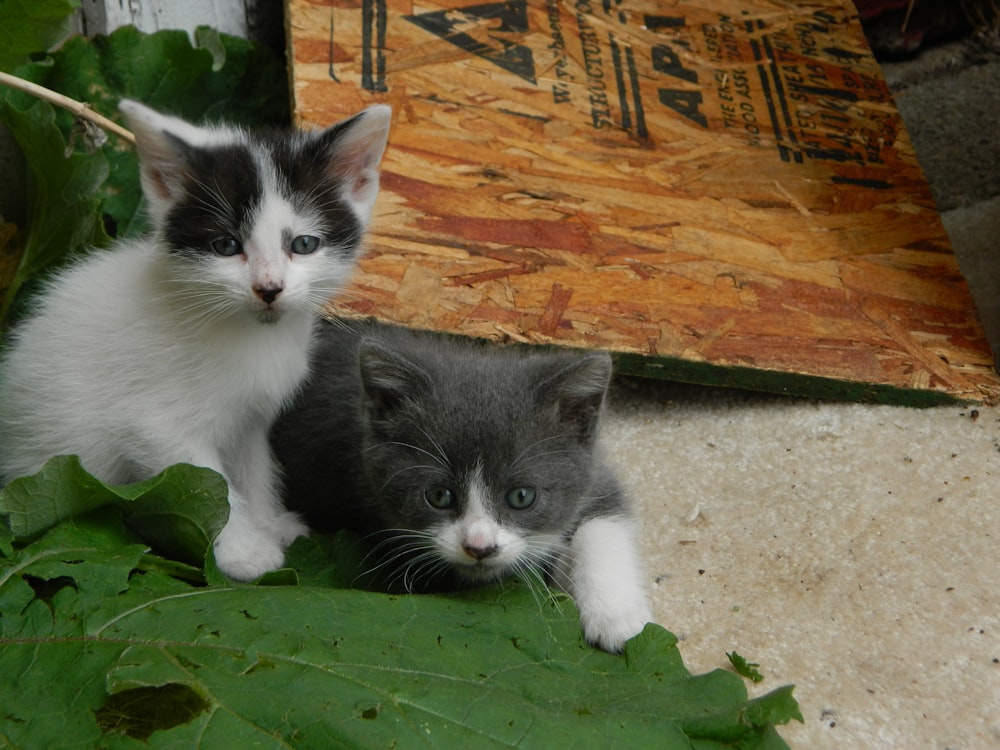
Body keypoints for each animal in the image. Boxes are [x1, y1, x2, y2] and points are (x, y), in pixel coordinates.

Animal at [0, 100, 390, 580]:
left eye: (303, 244)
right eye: (226, 245)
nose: (269, 288)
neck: (246, 333)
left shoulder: (250, 418)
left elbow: (253, 466)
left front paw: (268, 522)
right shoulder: (154, 424)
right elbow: (208, 481)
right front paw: (246, 552)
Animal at [270, 320, 652, 656]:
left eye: (522, 497)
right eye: (439, 496)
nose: (480, 547)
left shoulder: (591, 468)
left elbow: (604, 515)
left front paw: (618, 618)